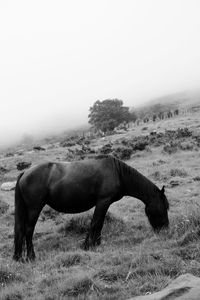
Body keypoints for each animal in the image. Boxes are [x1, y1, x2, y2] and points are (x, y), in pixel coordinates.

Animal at [12, 156, 169, 262]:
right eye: (164, 207)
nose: (165, 230)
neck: (117, 172)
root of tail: (25, 173)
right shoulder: (103, 201)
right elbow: (96, 223)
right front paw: (89, 245)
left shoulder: (105, 203)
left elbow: (99, 223)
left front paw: (95, 243)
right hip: (34, 209)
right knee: (28, 230)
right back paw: (31, 256)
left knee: (21, 230)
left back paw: (19, 257)